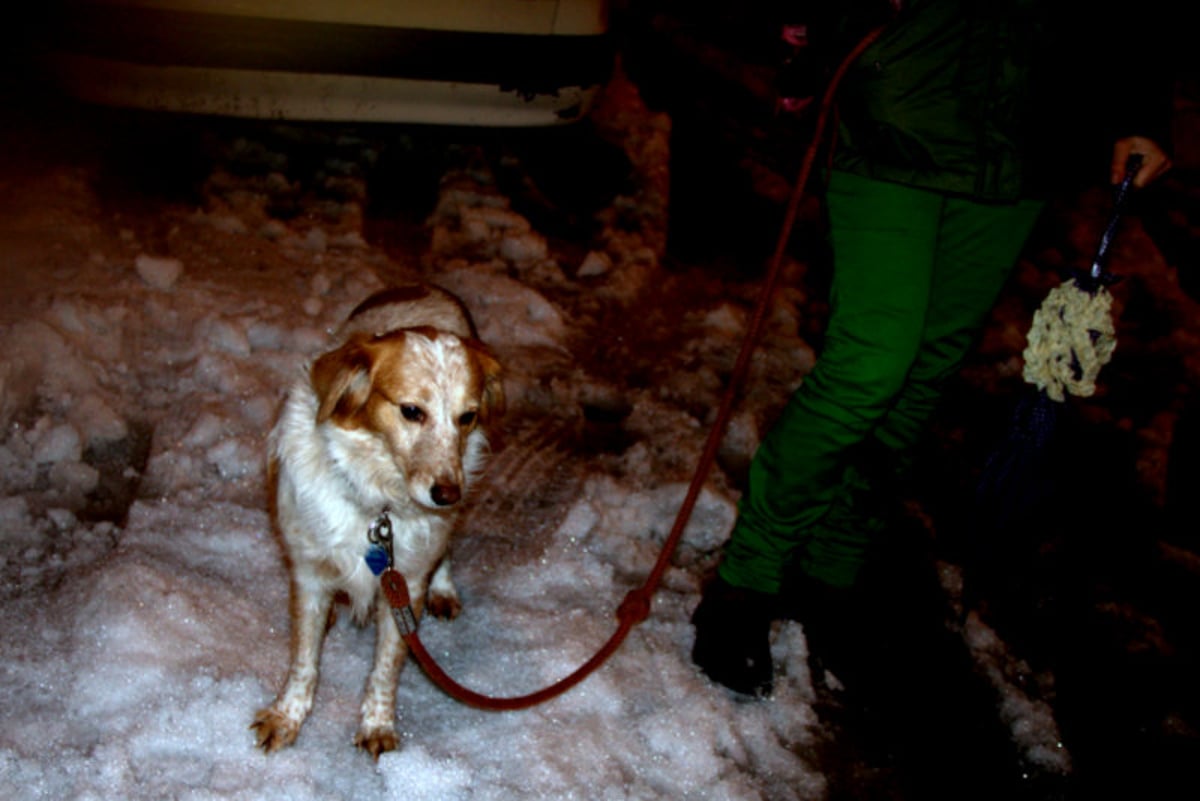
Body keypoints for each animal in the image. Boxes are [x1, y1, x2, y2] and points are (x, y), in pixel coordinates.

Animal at [253, 286, 501, 757]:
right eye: (411, 411)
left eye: (467, 417)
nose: (448, 494)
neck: (377, 500)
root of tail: (430, 287)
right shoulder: (310, 571)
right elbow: (304, 660)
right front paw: (286, 716)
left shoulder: (405, 584)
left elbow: (386, 666)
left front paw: (377, 723)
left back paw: (445, 586)